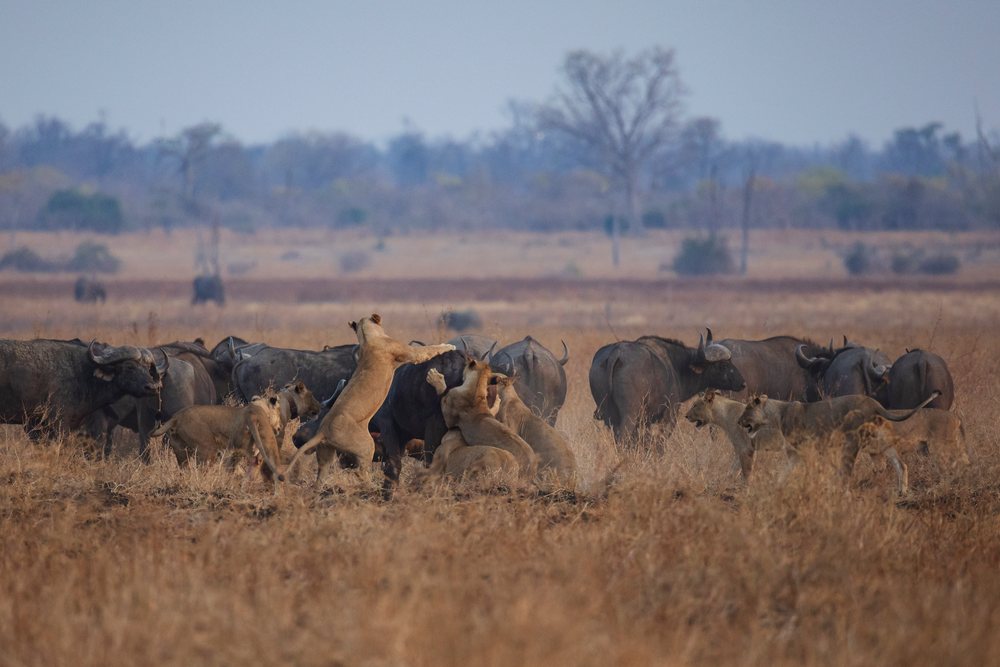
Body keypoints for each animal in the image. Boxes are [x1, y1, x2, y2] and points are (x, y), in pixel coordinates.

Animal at [150, 395, 283, 484]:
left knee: (184, 469)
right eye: (278, 412)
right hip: (207, 448)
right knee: (202, 470)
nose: (279, 427)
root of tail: (176, 417)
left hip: (181, 451)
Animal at [285, 314, 455, 484]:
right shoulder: (411, 353)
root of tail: (323, 431)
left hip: (326, 453)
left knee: (320, 478)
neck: (368, 338)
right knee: (361, 471)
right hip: (367, 446)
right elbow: (429, 350)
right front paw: (449, 346)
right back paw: (370, 484)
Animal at [589, 333, 745, 444]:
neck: (677, 366)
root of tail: (617, 352)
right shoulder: (670, 414)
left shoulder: (646, 421)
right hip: (630, 415)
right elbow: (660, 442)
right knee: (623, 438)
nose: (742, 383)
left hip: (609, 417)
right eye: (723, 365)